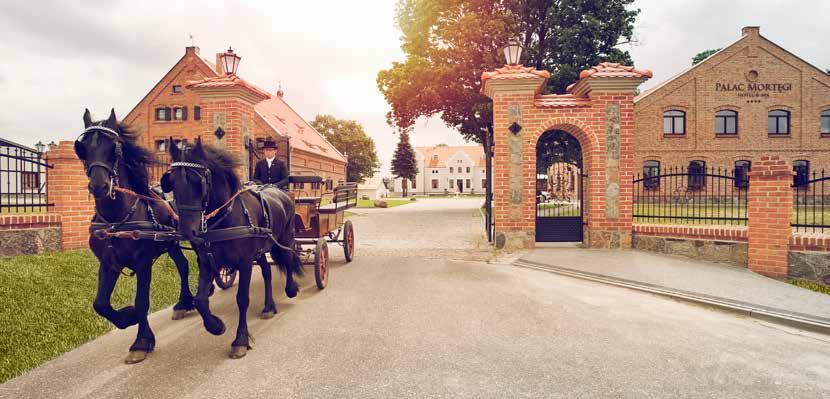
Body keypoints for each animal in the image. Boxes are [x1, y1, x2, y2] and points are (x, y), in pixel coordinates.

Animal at [75, 109, 195, 366]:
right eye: (82, 148)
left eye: (114, 147)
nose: (99, 185)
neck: (116, 219)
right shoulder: (108, 263)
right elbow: (100, 303)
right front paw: (127, 317)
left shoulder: (143, 263)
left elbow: (142, 302)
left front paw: (141, 342)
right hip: (171, 244)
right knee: (183, 265)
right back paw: (183, 303)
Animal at [161, 138, 304, 360]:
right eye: (172, 181)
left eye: (199, 182)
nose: (186, 231)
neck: (225, 218)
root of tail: (280, 192)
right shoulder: (207, 262)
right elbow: (200, 300)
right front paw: (216, 326)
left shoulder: (244, 262)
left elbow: (242, 299)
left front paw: (241, 340)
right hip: (260, 250)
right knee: (267, 271)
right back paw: (269, 306)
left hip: (285, 238)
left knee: (288, 259)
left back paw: (290, 289)